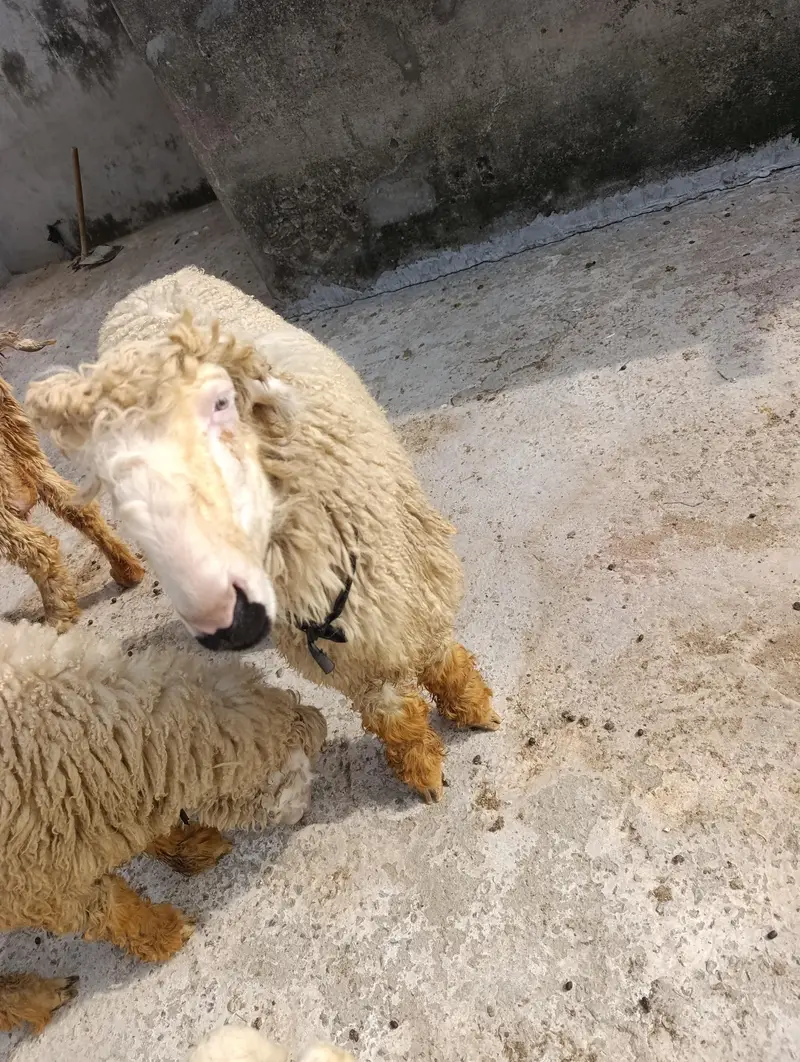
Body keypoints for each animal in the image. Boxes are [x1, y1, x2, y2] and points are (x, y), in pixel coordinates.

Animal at [0, 619, 327, 1035]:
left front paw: (184, 847)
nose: (304, 811)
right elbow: (109, 909)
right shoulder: (37, 887)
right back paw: (35, 998)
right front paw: (164, 934)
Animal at [26, 267, 500, 803]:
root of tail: (148, 286)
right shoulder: (343, 654)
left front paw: (474, 709)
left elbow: (441, 658)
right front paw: (423, 768)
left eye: (221, 403)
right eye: (111, 466)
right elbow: (389, 711)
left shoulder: (417, 586)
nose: (223, 620)